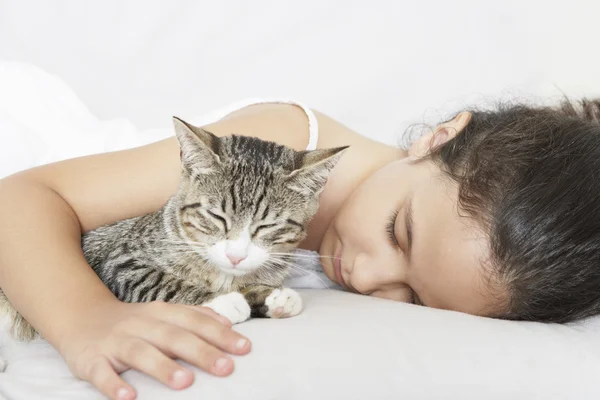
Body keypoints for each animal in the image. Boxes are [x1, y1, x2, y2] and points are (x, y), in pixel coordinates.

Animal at [0, 117, 346, 342]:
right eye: (216, 216)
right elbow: (161, 281)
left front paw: (271, 296)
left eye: (268, 225)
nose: (235, 256)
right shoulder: (120, 262)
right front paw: (222, 301)